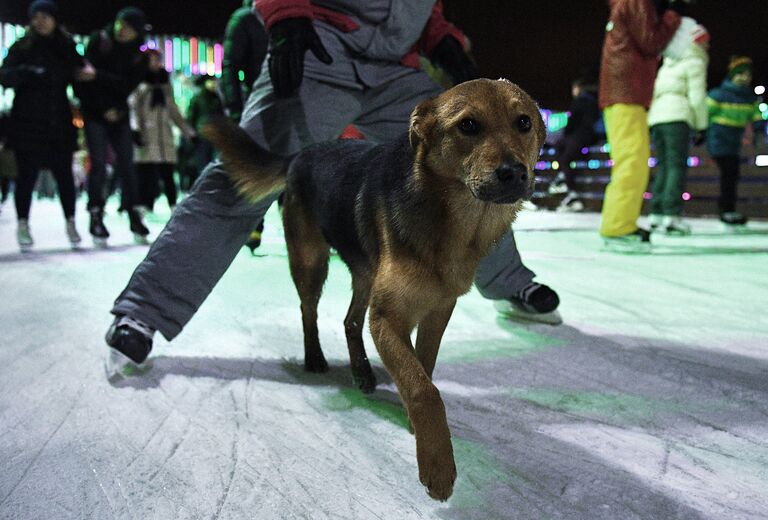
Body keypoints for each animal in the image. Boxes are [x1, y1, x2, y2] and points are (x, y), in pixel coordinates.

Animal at [206, 79, 544, 502]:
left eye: (523, 123)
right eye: (468, 125)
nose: (515, 173)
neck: (453, 222)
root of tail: (303, 152)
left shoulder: (438, 311)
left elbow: (424, 367)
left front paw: (418, 427)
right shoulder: (386, 318)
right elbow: (423, 389)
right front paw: (437, 465)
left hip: (366, 275)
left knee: (350, 321)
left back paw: (363, 372)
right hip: (312, 262)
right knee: (308, 310)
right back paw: (315, 357)